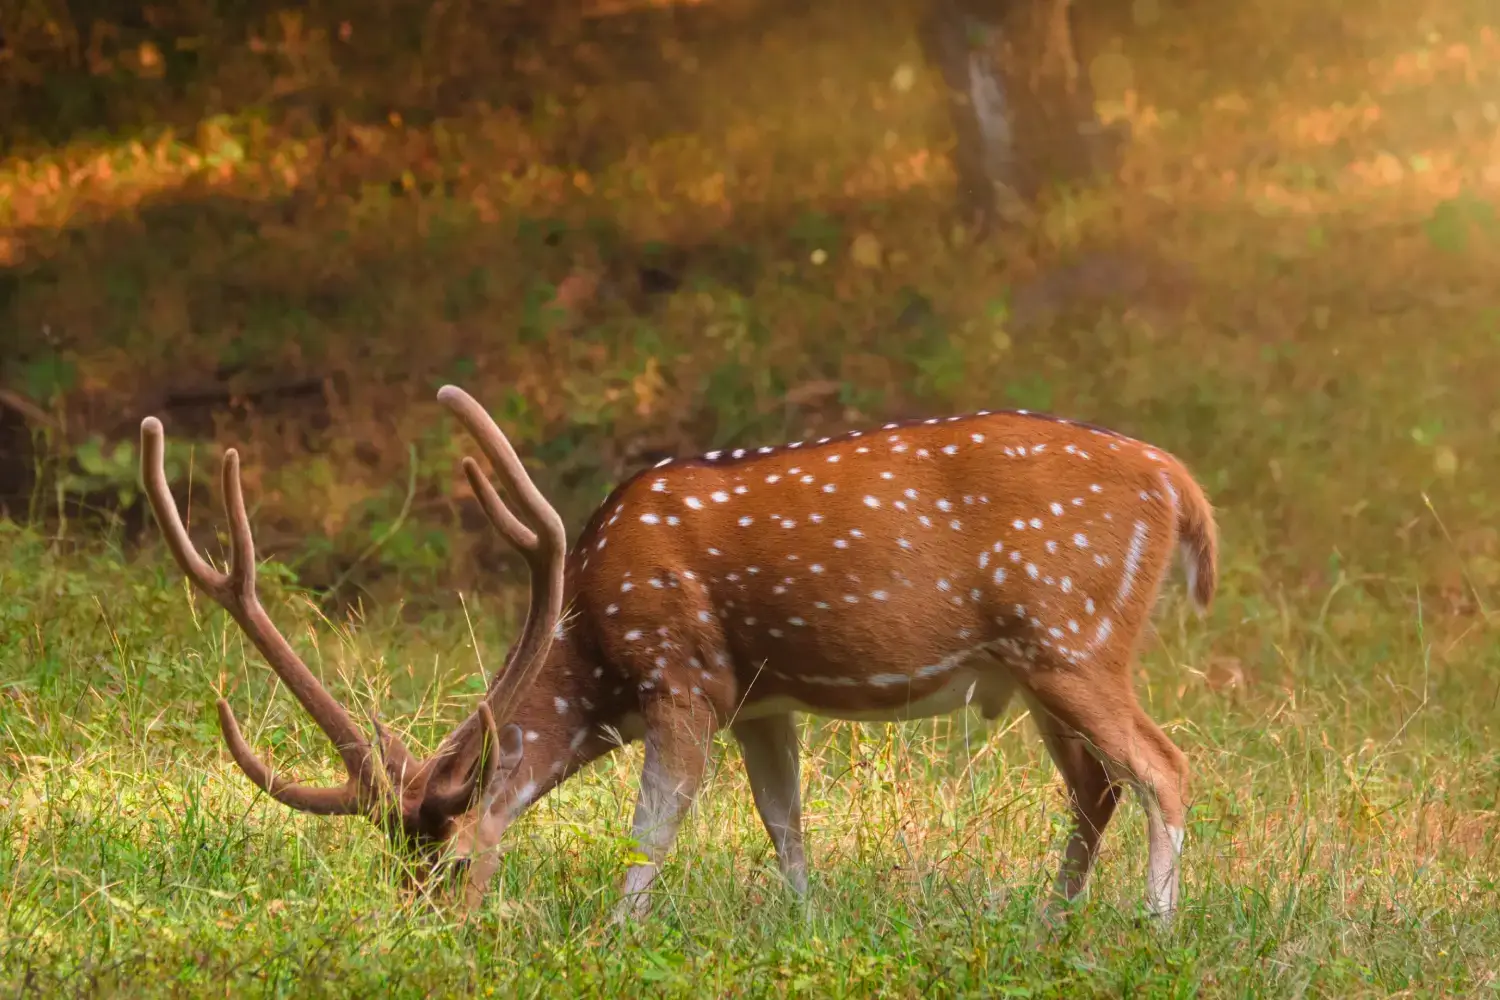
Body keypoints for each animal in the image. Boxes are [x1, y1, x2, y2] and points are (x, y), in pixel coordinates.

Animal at [141, 383, 1218, 923]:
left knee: (1165, 764)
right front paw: (808, 928)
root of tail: (1179, 483)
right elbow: (786, 826)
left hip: (1072, 636)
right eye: (394, 868)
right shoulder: (762, 701)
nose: (413, 933)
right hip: (1037, 667)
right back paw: (1048, 925)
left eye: (449, 868)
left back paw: (1153, 931)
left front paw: (614, 936)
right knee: (1097, 785)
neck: (592, 645)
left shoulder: (683, 674)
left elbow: (652, 827)